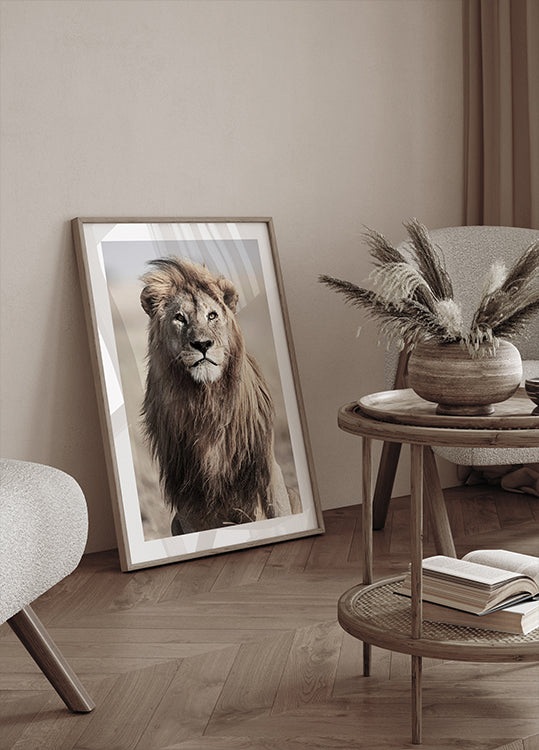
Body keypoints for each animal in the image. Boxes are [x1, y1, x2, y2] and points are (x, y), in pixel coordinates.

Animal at [140, 257, 295, 535]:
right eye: (179, 318)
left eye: (212, 315)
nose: (202, 344)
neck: (207, 401)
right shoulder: (189, 499)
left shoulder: (265, 469)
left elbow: (275, 511)